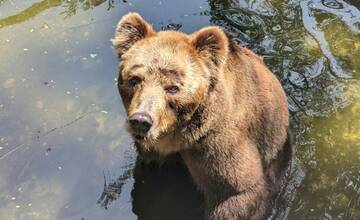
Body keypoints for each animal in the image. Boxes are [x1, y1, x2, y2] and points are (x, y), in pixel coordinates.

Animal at [112, 12, 292, 220]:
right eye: (134, 79)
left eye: (173, 88)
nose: (141, 120)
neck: (178, 135)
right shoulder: (153, 155)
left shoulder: (216, 144)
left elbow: (236, 192)